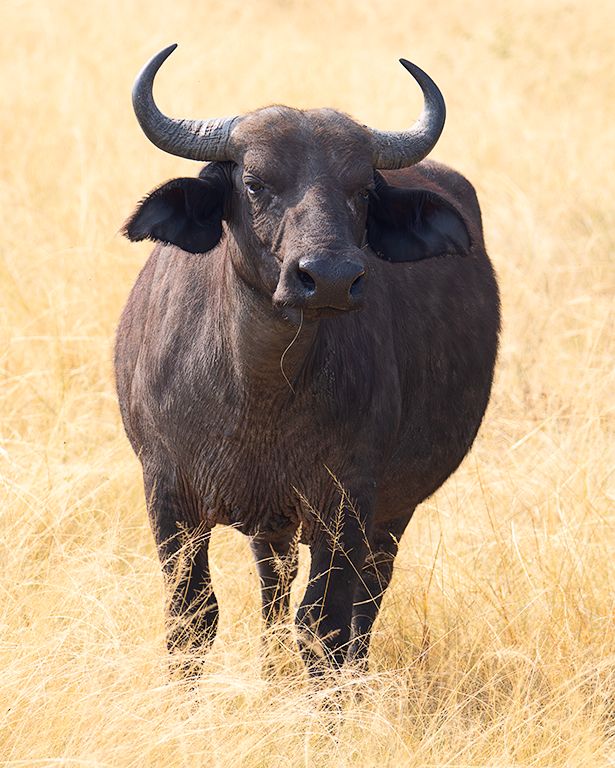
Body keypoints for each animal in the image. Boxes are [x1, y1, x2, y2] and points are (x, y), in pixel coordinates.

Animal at [115, 44, 500, 674]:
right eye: (254, 183)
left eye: (362, 190)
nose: (330, 278)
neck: (260, 394)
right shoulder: (167, 493)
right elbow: (193, 618)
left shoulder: (348, 506)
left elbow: (325, 628)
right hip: (270, 524)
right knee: (273, 587)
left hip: (389, 517)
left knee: (365, 604)